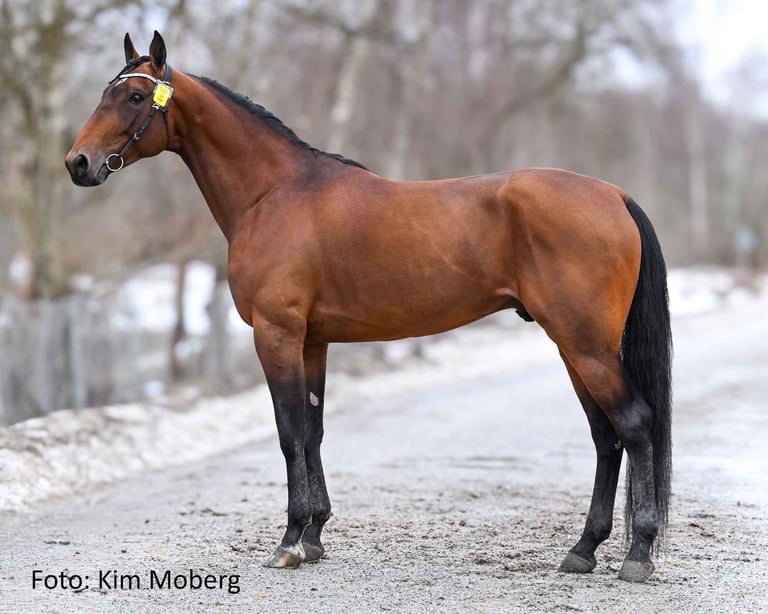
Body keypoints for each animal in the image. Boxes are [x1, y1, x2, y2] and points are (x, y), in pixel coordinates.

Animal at [65, 31, 672, 582]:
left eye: (135, 97)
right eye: (105, 92)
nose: (78, 163)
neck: (274, 194)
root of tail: (614, 195)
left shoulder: (276, 333)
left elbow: (288, 432)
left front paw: (289, 540)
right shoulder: (312, 340)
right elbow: (313, 431)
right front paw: (314, 536)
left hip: (585, 345)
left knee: (635, 424)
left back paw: (638, 554)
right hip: (575, 346)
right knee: (605, 435)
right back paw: (584, 550)